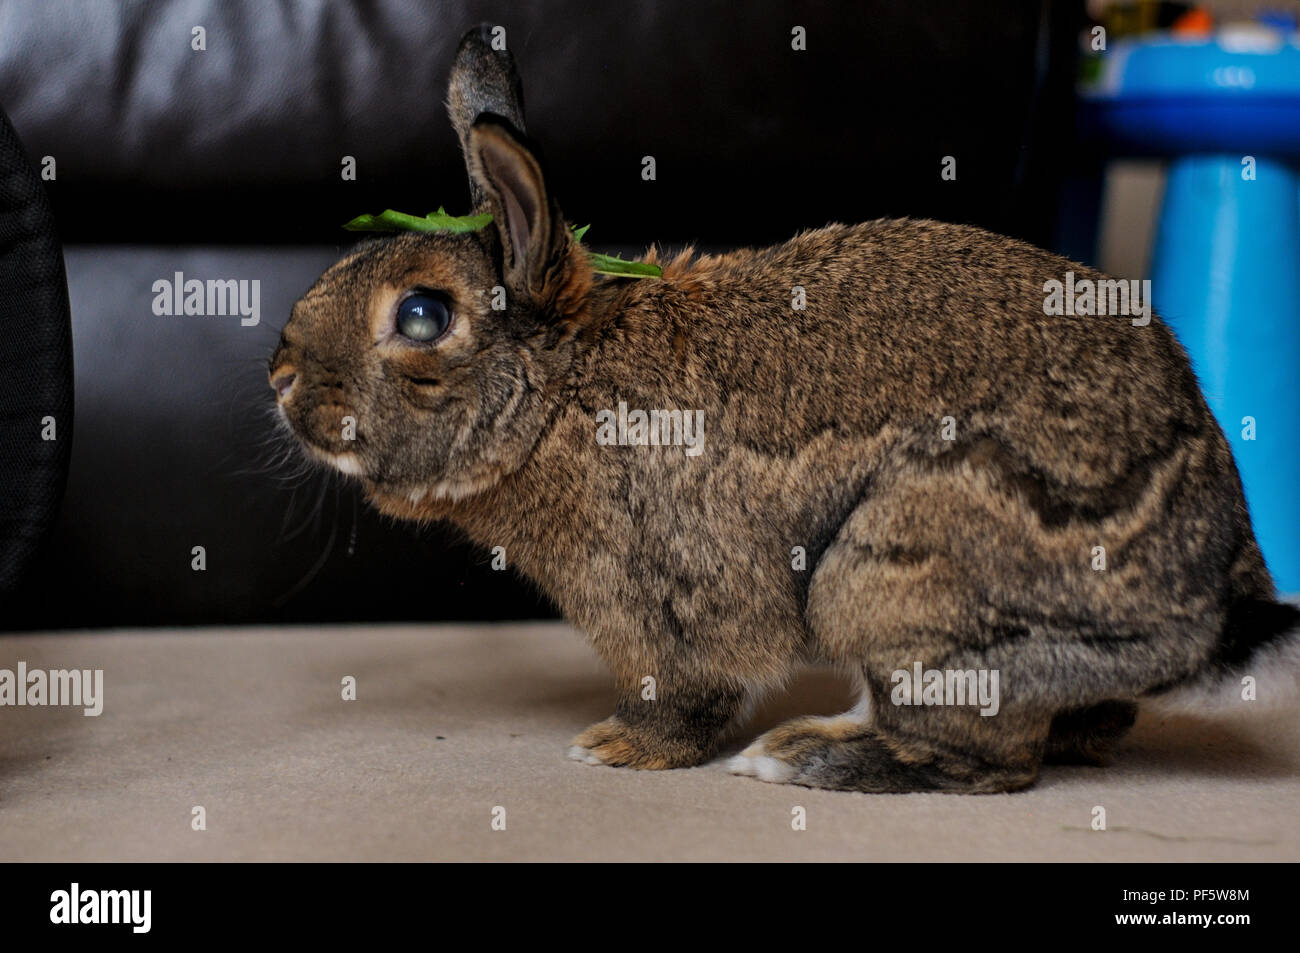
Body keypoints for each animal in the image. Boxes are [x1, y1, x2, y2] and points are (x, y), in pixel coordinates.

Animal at [268, 24, 1300, 793]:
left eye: (421, 315)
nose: (279, 376)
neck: (564, 391)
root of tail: (1215, 607)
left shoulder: (670, 603)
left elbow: (691, 695)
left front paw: (617, 747)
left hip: (893, 575)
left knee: (990, 760)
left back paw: (804, 756)